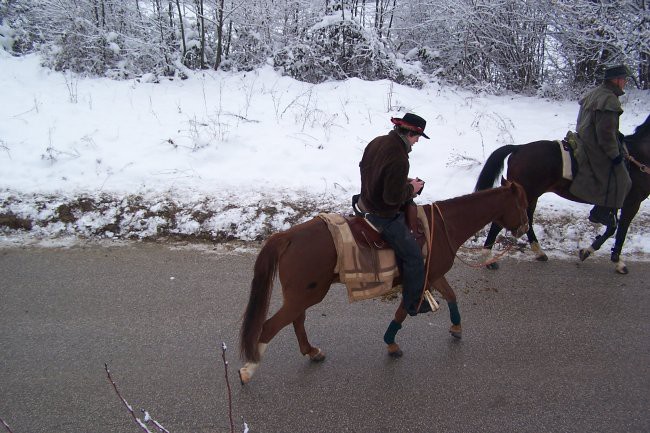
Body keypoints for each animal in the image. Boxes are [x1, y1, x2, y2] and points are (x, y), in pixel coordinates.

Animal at [238, 181, 528, 382]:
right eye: (522, 203)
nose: (525, 228)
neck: (442, 227)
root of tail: (287, 236)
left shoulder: (434, 275)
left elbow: (451, 295)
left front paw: (456, 327)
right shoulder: (420, 277)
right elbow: (404, 310)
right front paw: (391, 342)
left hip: (301, 295)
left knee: (297, 320)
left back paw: (312, 352)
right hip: (304, 294)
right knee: (270, 326)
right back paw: (248, 370)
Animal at [470, 114, 648, 274]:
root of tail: (519, 147)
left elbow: (613, 228)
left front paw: (588, 251)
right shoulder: (632, 203)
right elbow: (619, 231)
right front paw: (616, 261)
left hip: (530, 196)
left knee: (527, 222)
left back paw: (538, 252)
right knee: (503, 223)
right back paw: (489, 259)